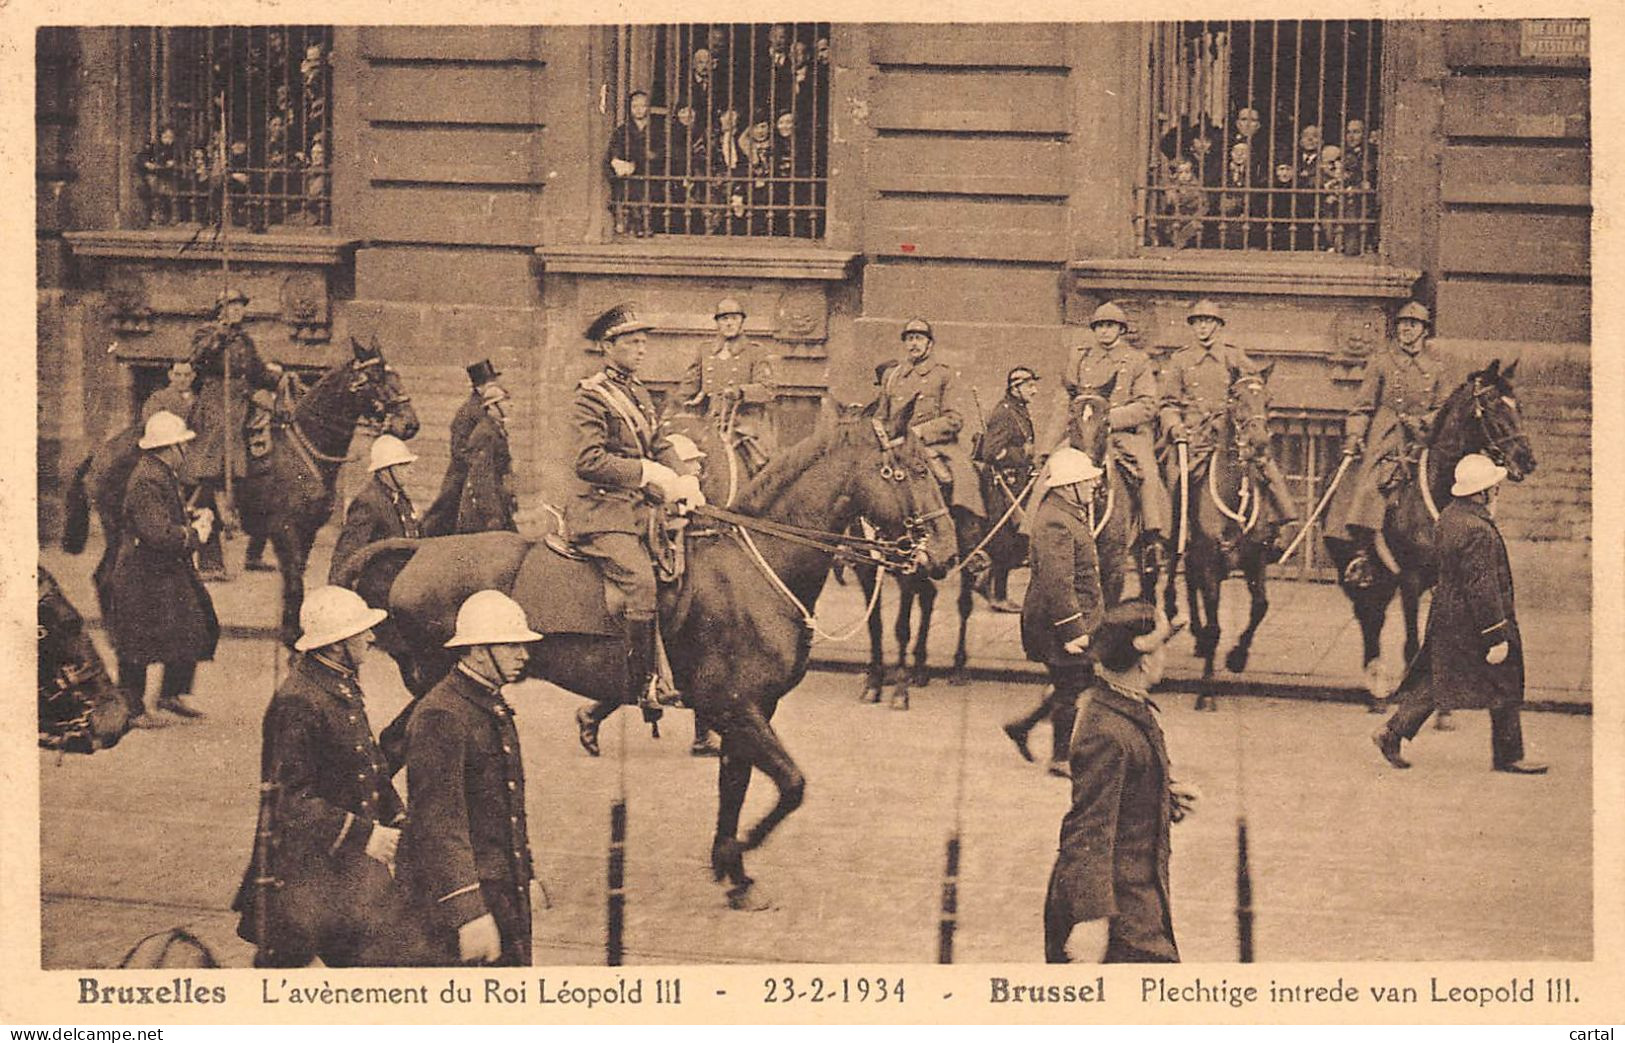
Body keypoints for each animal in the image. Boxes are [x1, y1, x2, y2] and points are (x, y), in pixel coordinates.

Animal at [61, 337, 419, 646]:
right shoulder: (284, 528)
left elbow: (298, 578)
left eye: (396, 375)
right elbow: (293, 581)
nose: (410, 424)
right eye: (375, 378)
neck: (305, 446)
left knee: (103, 575)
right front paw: (292, 636)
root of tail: (101, 451)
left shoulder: (307, 530)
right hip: (120, 528)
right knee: (108, 576)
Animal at [334, 402, 955, 903]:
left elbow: (735, 787)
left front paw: (732, 868)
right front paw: (745, 850)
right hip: (440, 681)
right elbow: (792, 784)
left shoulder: (748, 711)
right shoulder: (737, 708)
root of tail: (418, 550)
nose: (947, 555)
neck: (756, 566)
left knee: (392, 745)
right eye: (913, 470)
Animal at [1170, 360, 1280, 701]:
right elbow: (1215, 624)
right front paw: (1207, 689)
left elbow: (1260, 606)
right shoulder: (1209, 561)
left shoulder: (1255, 560)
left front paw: (1237, 657)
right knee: (1182, 579)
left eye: (1267, 400)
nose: (1259, 444)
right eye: (1235, 398)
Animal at [1319, 357, 1534, 698]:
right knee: (1369, 619)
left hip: (1385, 580)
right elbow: (1412, 644)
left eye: (1519, 405)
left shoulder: (1440, 579)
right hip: (1353, 571)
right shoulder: (1411, 580)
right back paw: (1376, 685)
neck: (1441, 489)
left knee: (1375, 617)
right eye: (1491, 406)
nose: (1527, 459)